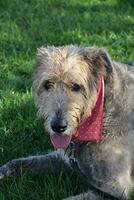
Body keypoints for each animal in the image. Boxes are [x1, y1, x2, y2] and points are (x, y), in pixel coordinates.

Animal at [0, 45, 134, 200]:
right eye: (48, 84)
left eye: (76, 86)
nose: (58, 127)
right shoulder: (64, 158)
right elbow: (19, 163)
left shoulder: (114, 189)